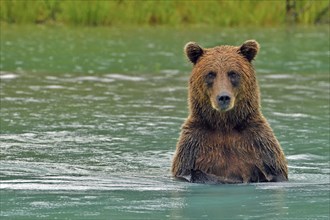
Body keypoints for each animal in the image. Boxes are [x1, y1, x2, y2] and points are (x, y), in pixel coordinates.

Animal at [171, 40, 288, 184]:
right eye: (211, 74)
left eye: (232, 73)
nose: (223, 97)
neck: (225, 125)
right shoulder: (193, 147)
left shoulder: (261, 146)